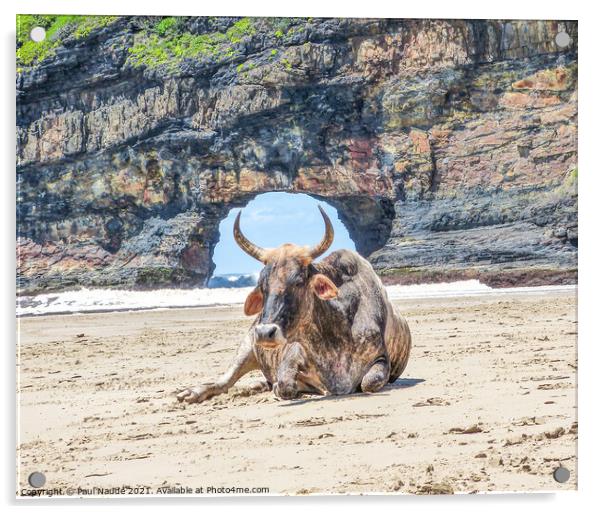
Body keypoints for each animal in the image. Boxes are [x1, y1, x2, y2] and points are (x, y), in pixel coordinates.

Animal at [176, 206, 410, 402]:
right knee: (224, 381)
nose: (264, 332)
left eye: (298, 281)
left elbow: (369, 382)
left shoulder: (381, 360)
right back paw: (195, 392)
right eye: (262, 285)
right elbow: (285, 385)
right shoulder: (291, 354)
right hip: (247, 346)